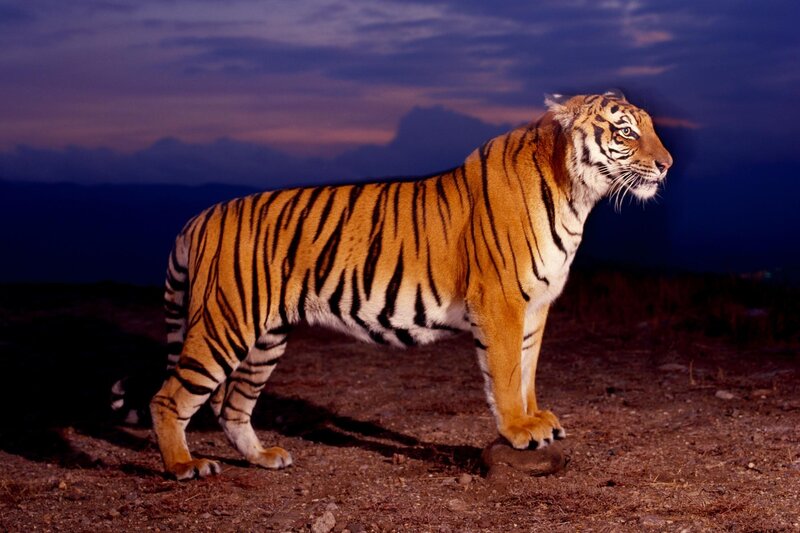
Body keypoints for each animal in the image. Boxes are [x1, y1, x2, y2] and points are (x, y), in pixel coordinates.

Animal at [150, 90, 672, 480]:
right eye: (625, 130)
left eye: (651, 127)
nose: (666, 164)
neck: (577, 194)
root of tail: (201, 216)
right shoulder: (501, 300)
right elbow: (505, 373)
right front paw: (517, 430)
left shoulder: (537, 305)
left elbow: (527, 370)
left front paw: (536, 420)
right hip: (226, 322)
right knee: (170, 397)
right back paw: (184, 466)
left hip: (266, 337)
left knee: (232, 406)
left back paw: (264, 458)